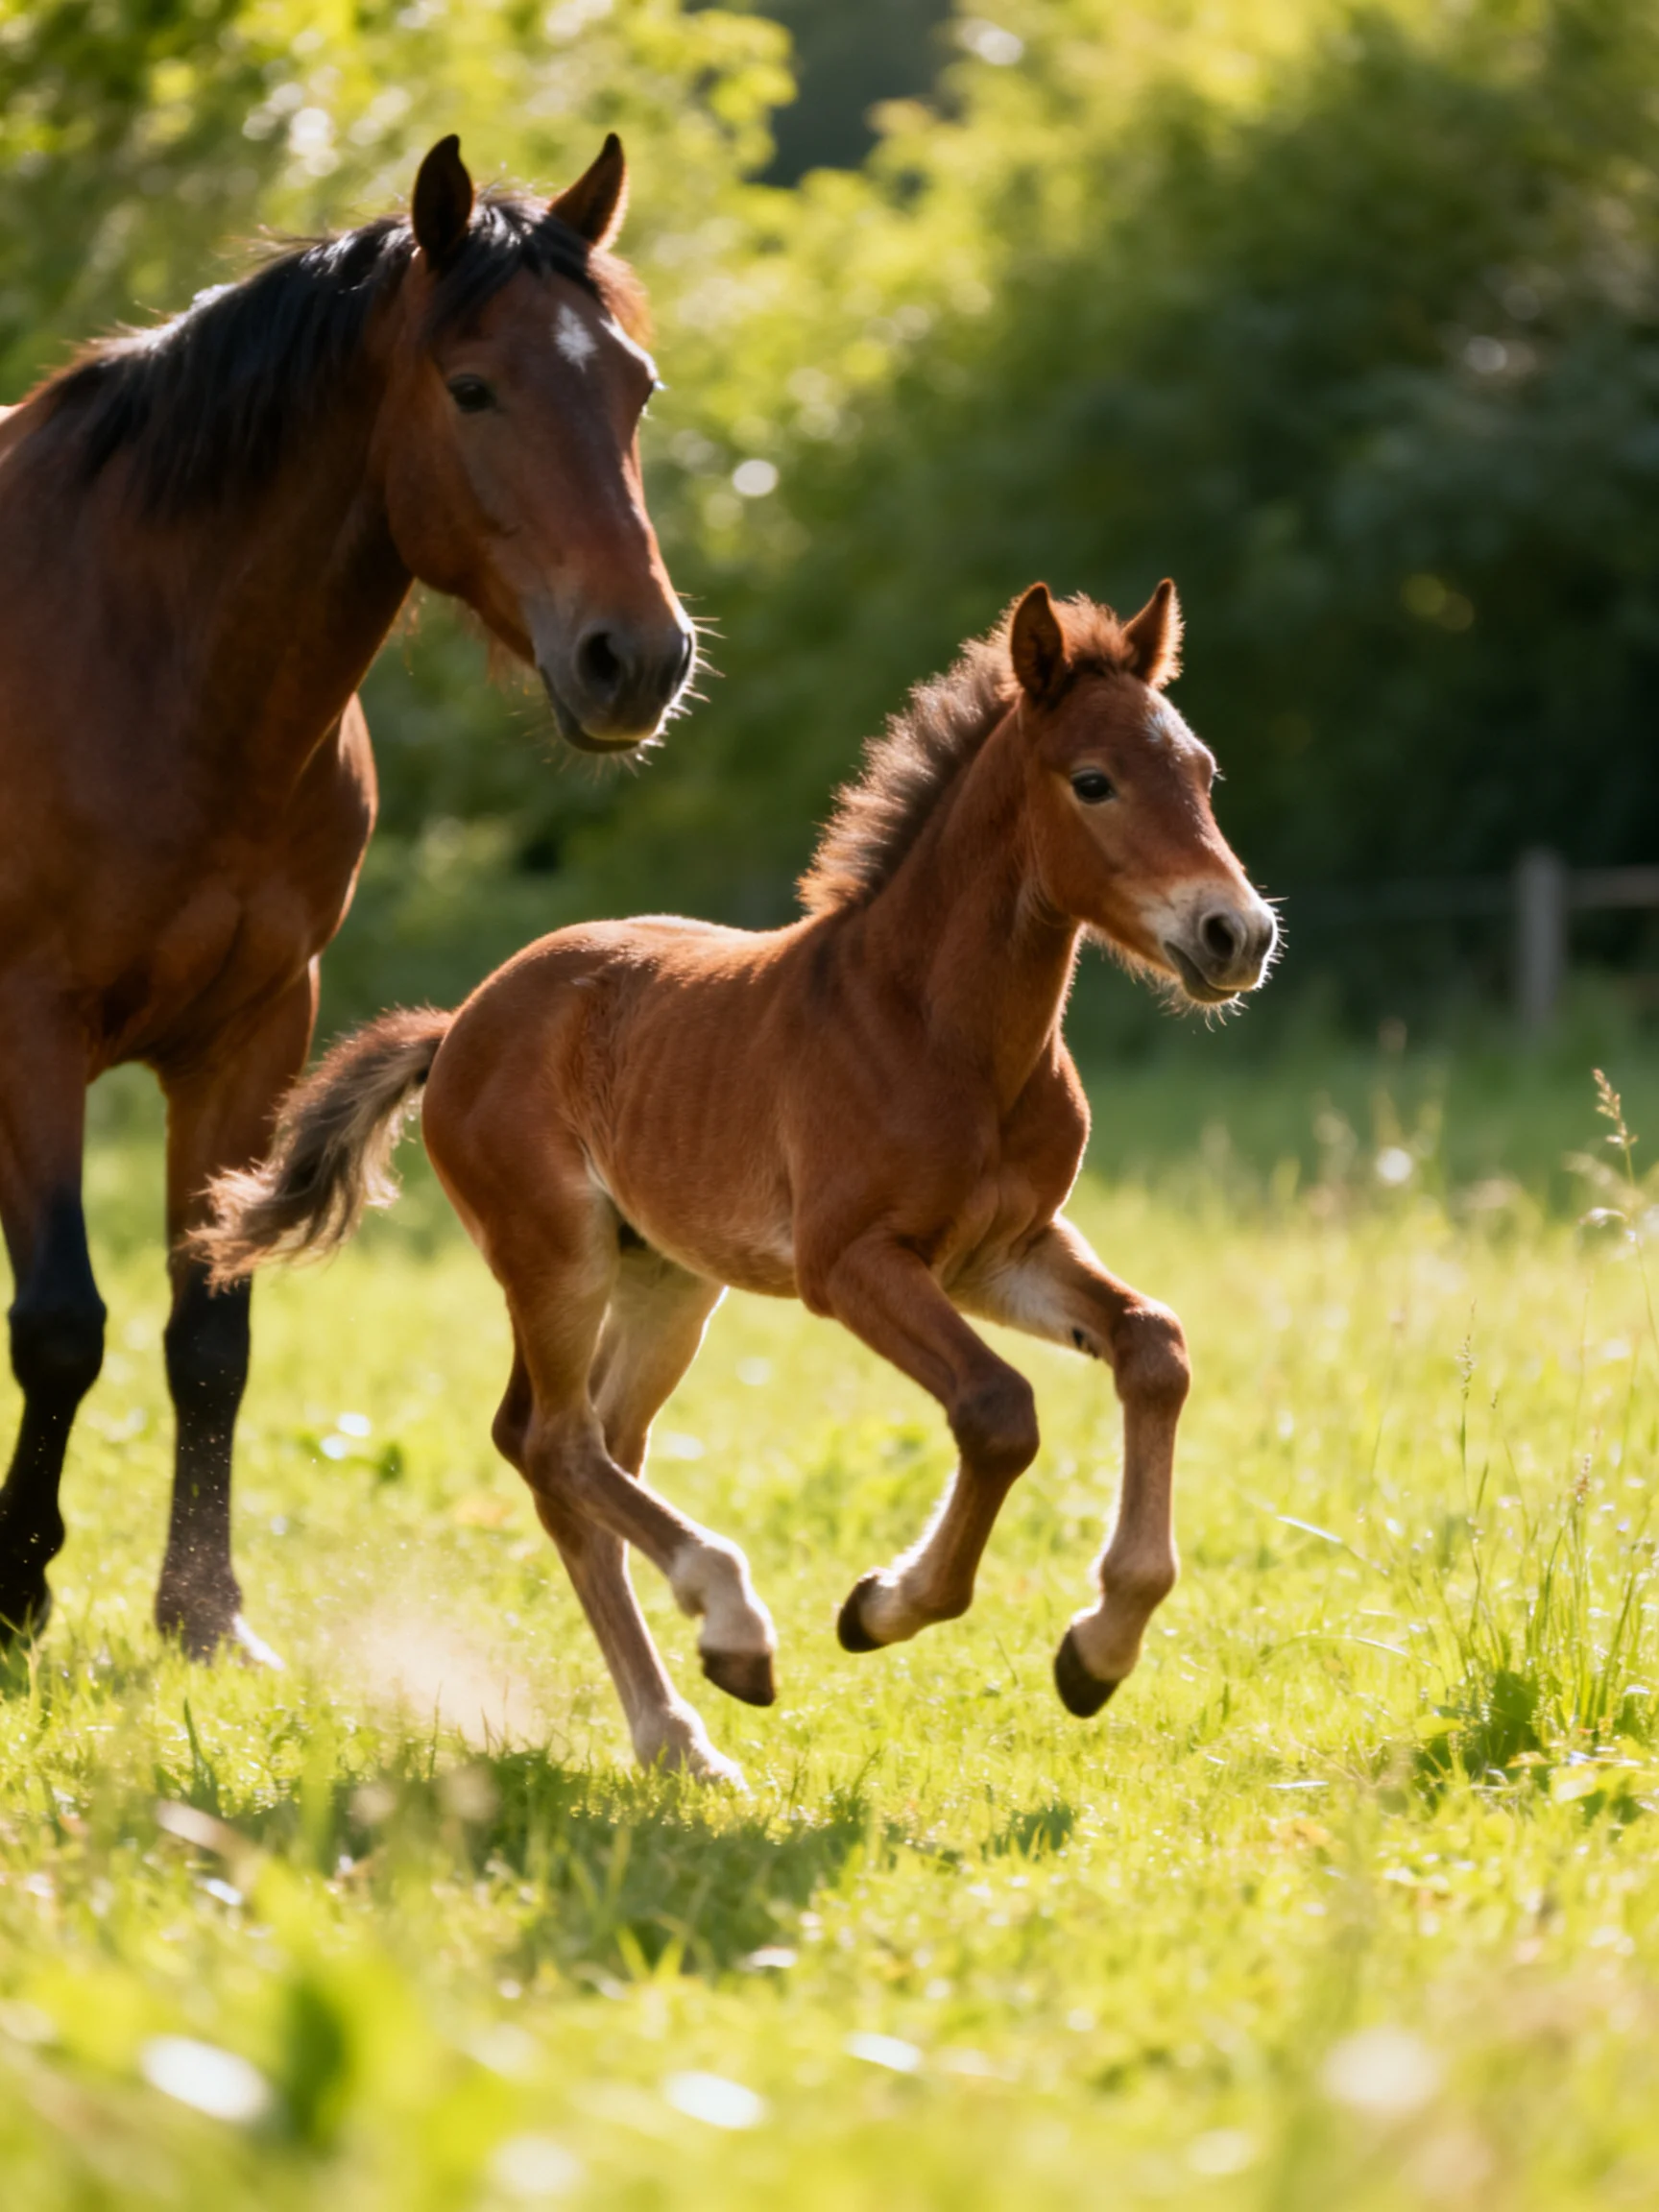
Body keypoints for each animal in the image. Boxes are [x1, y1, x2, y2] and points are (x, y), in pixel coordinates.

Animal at [0, 132, 695, 1665]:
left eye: (634, 384)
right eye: (474, 385)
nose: (639, 658)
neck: (142, 665)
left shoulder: (256, 1029)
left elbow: (210, 1331)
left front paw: (206, 1617)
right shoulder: (30, 1030)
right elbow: (61, 1323)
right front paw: (12, 1592)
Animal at [197, 581, 1277, 1779]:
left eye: (1204, 772)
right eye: (1093, 781)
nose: (1235, 934)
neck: (939, 1029)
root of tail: (459, 1024)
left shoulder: (1004, 1252)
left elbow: (1153, 1346)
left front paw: (1098, 1648)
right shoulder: (848, 1264)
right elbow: (999, 1410)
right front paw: (884, 1607)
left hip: (669, 1280)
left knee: (588, 1448)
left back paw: (678, 1723)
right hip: (555, 1256)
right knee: (555, 1441)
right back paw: (730, 1629)